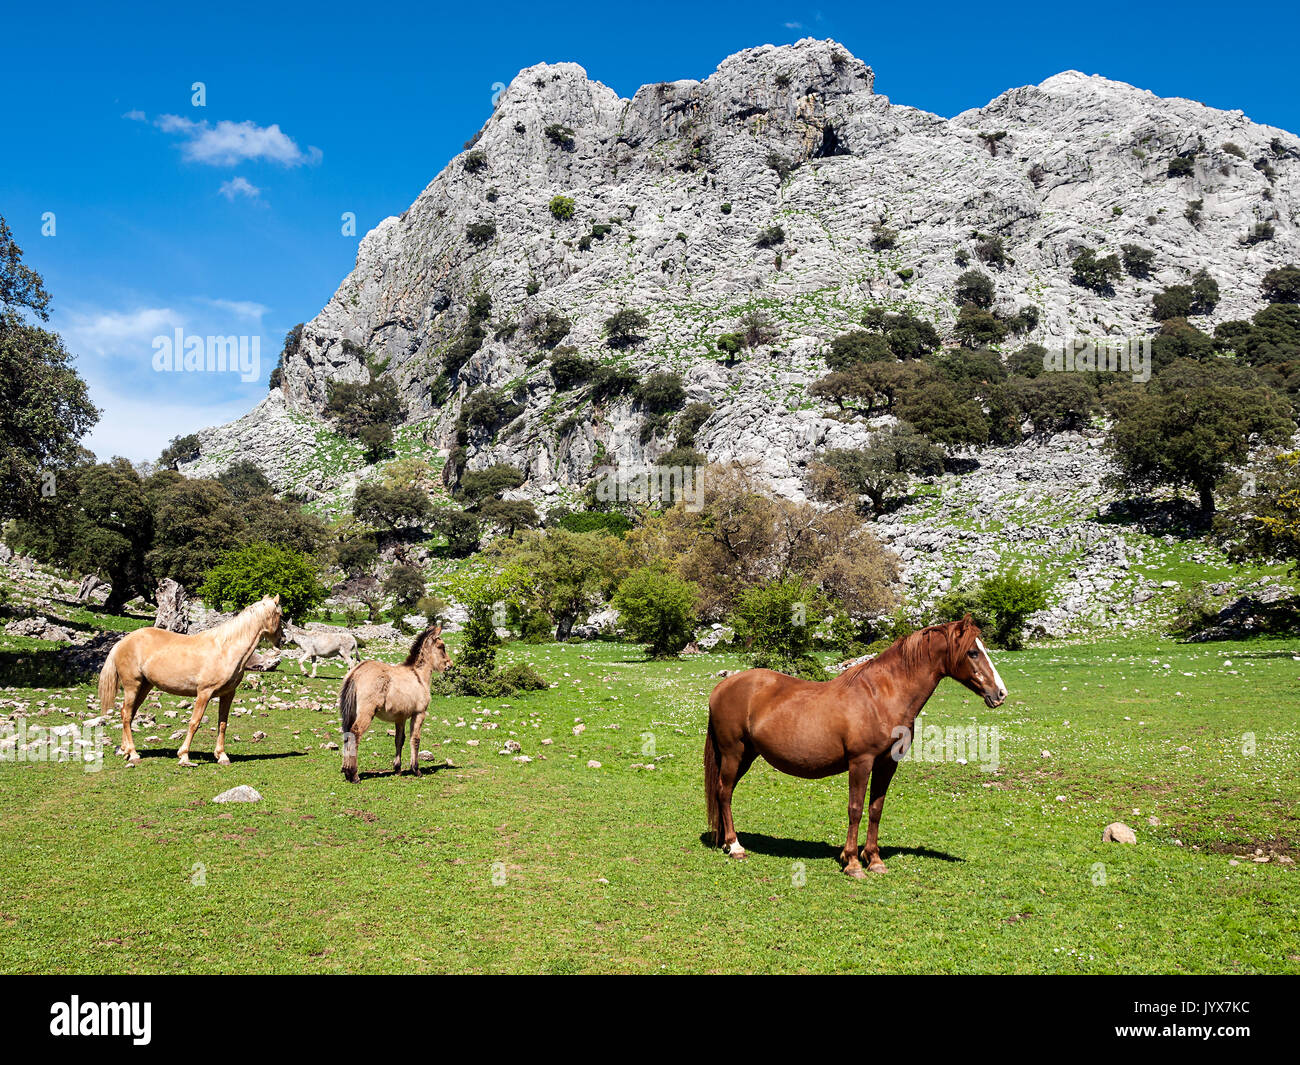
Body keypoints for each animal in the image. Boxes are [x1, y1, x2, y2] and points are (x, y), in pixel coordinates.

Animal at [98, 600, 284, 764]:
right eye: (280, 615)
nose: (281, 641)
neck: (226, 649)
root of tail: (122, 642)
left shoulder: (228, 694)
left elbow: (222, 724)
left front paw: (222, 756)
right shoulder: (204, 693)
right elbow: (195, 722)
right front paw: (184, 755)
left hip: (144, 686)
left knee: (128, 714)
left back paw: (125, 751)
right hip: (132, 686)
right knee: (126, 714)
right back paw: (134, 754)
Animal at [340, 624, 452, 785]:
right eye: (441, 646)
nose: (450, 665)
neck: (418, 676)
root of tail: (356, 672)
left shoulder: (400, 718)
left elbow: (399, 740)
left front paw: (397, 769)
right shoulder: (419, 714)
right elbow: (415, 739)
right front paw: (416, 769)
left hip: (351, 713)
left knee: (347, 733)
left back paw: (346, 772)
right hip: (366, 713)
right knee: (355, 733)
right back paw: (354, 775)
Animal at [707, 616, 1008, 873]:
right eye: (973, 652)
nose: (1000, 693)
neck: (880, 697)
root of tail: (722, 688)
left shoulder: (887, 764)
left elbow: (875, 809)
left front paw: (873, 859)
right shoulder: (860, 762)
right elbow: (855, 809)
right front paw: (851, 862)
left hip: (746, 755)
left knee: (725, 792)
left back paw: (725, 842)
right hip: (734, 753)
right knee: (724, 792)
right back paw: (735, 846)